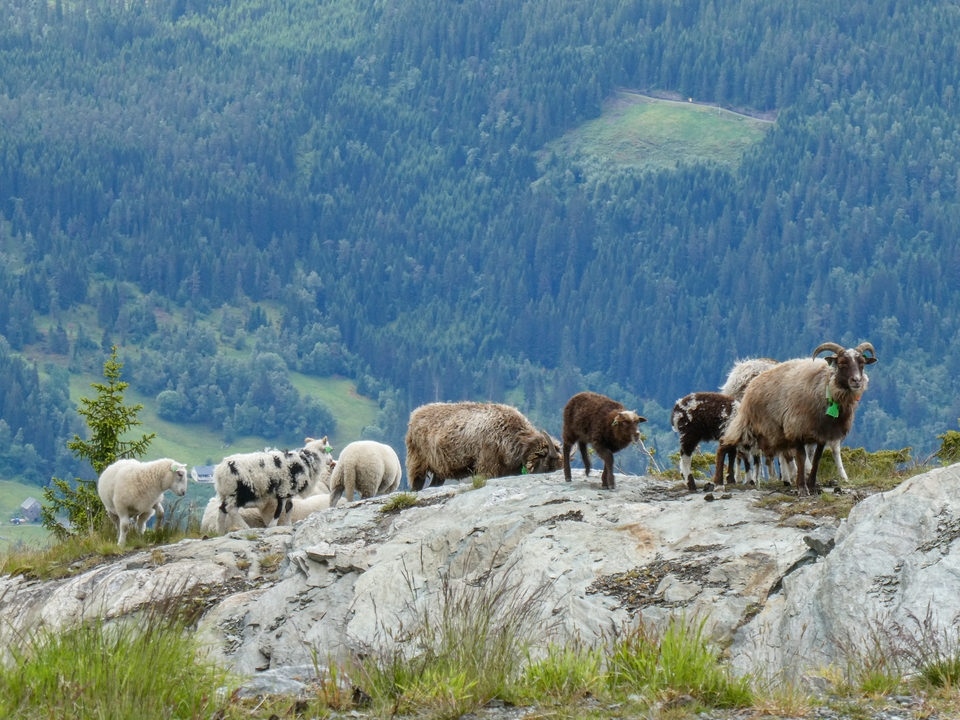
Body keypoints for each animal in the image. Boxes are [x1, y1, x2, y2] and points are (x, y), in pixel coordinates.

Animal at [405, 402, 561, 490]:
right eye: (546, 465)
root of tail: (416, 413)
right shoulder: (488, 467)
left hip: (439, 467)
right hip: (417, 461)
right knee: (416, 484)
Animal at [718, 342, 876, 496]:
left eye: (862, 363)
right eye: (842, 363)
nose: (857, 381)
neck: (825, 387)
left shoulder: (822, 432)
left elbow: (817, 457)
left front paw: (812, 484)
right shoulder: (797, 428)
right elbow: (802, 456)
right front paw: (802, 486)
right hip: (747, 424)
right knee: (729, 447)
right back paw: (724, 481)